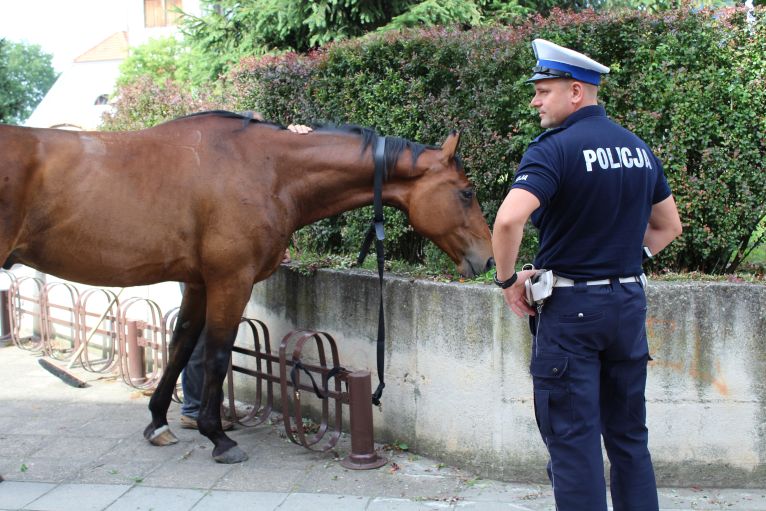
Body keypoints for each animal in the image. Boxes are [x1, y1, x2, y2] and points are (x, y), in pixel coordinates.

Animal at [1, 112, 492, 464]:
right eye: (466, 192)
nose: (487, 259)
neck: (265, 170)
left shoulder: (198, 283)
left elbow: (182, 346)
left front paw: (158, 422)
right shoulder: (230, 281)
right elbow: (217, 355)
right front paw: (218, 437)